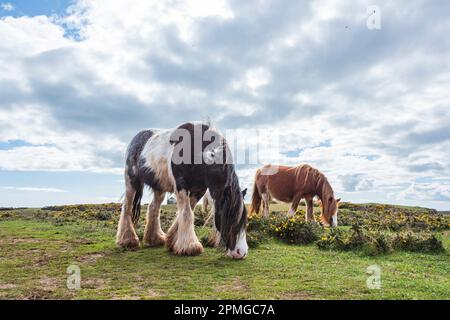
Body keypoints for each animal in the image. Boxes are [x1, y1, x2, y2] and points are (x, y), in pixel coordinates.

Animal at [116, 122, 250, 260]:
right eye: (231, 216)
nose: (241, 252)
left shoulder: (199, 190)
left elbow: (187, 212)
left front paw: (172, 241)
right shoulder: (181, 186)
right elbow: (187, 213)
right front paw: (190, 246)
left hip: (159, 187)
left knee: (153, 208)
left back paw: (155, 239)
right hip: (131, 182)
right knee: (127, 207)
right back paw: (128, 240)